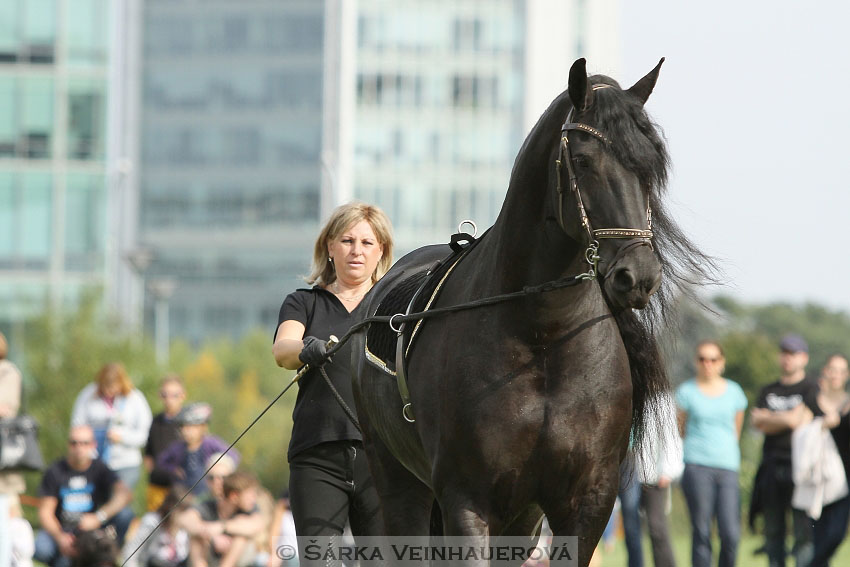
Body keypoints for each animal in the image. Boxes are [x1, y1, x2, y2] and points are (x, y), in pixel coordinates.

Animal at [348, 57, 712, 564]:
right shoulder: (468, 499)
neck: (543, 337)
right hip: (397, 479)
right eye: (583, 161)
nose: (637, 276)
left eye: (650, 166)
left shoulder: (584, 502)